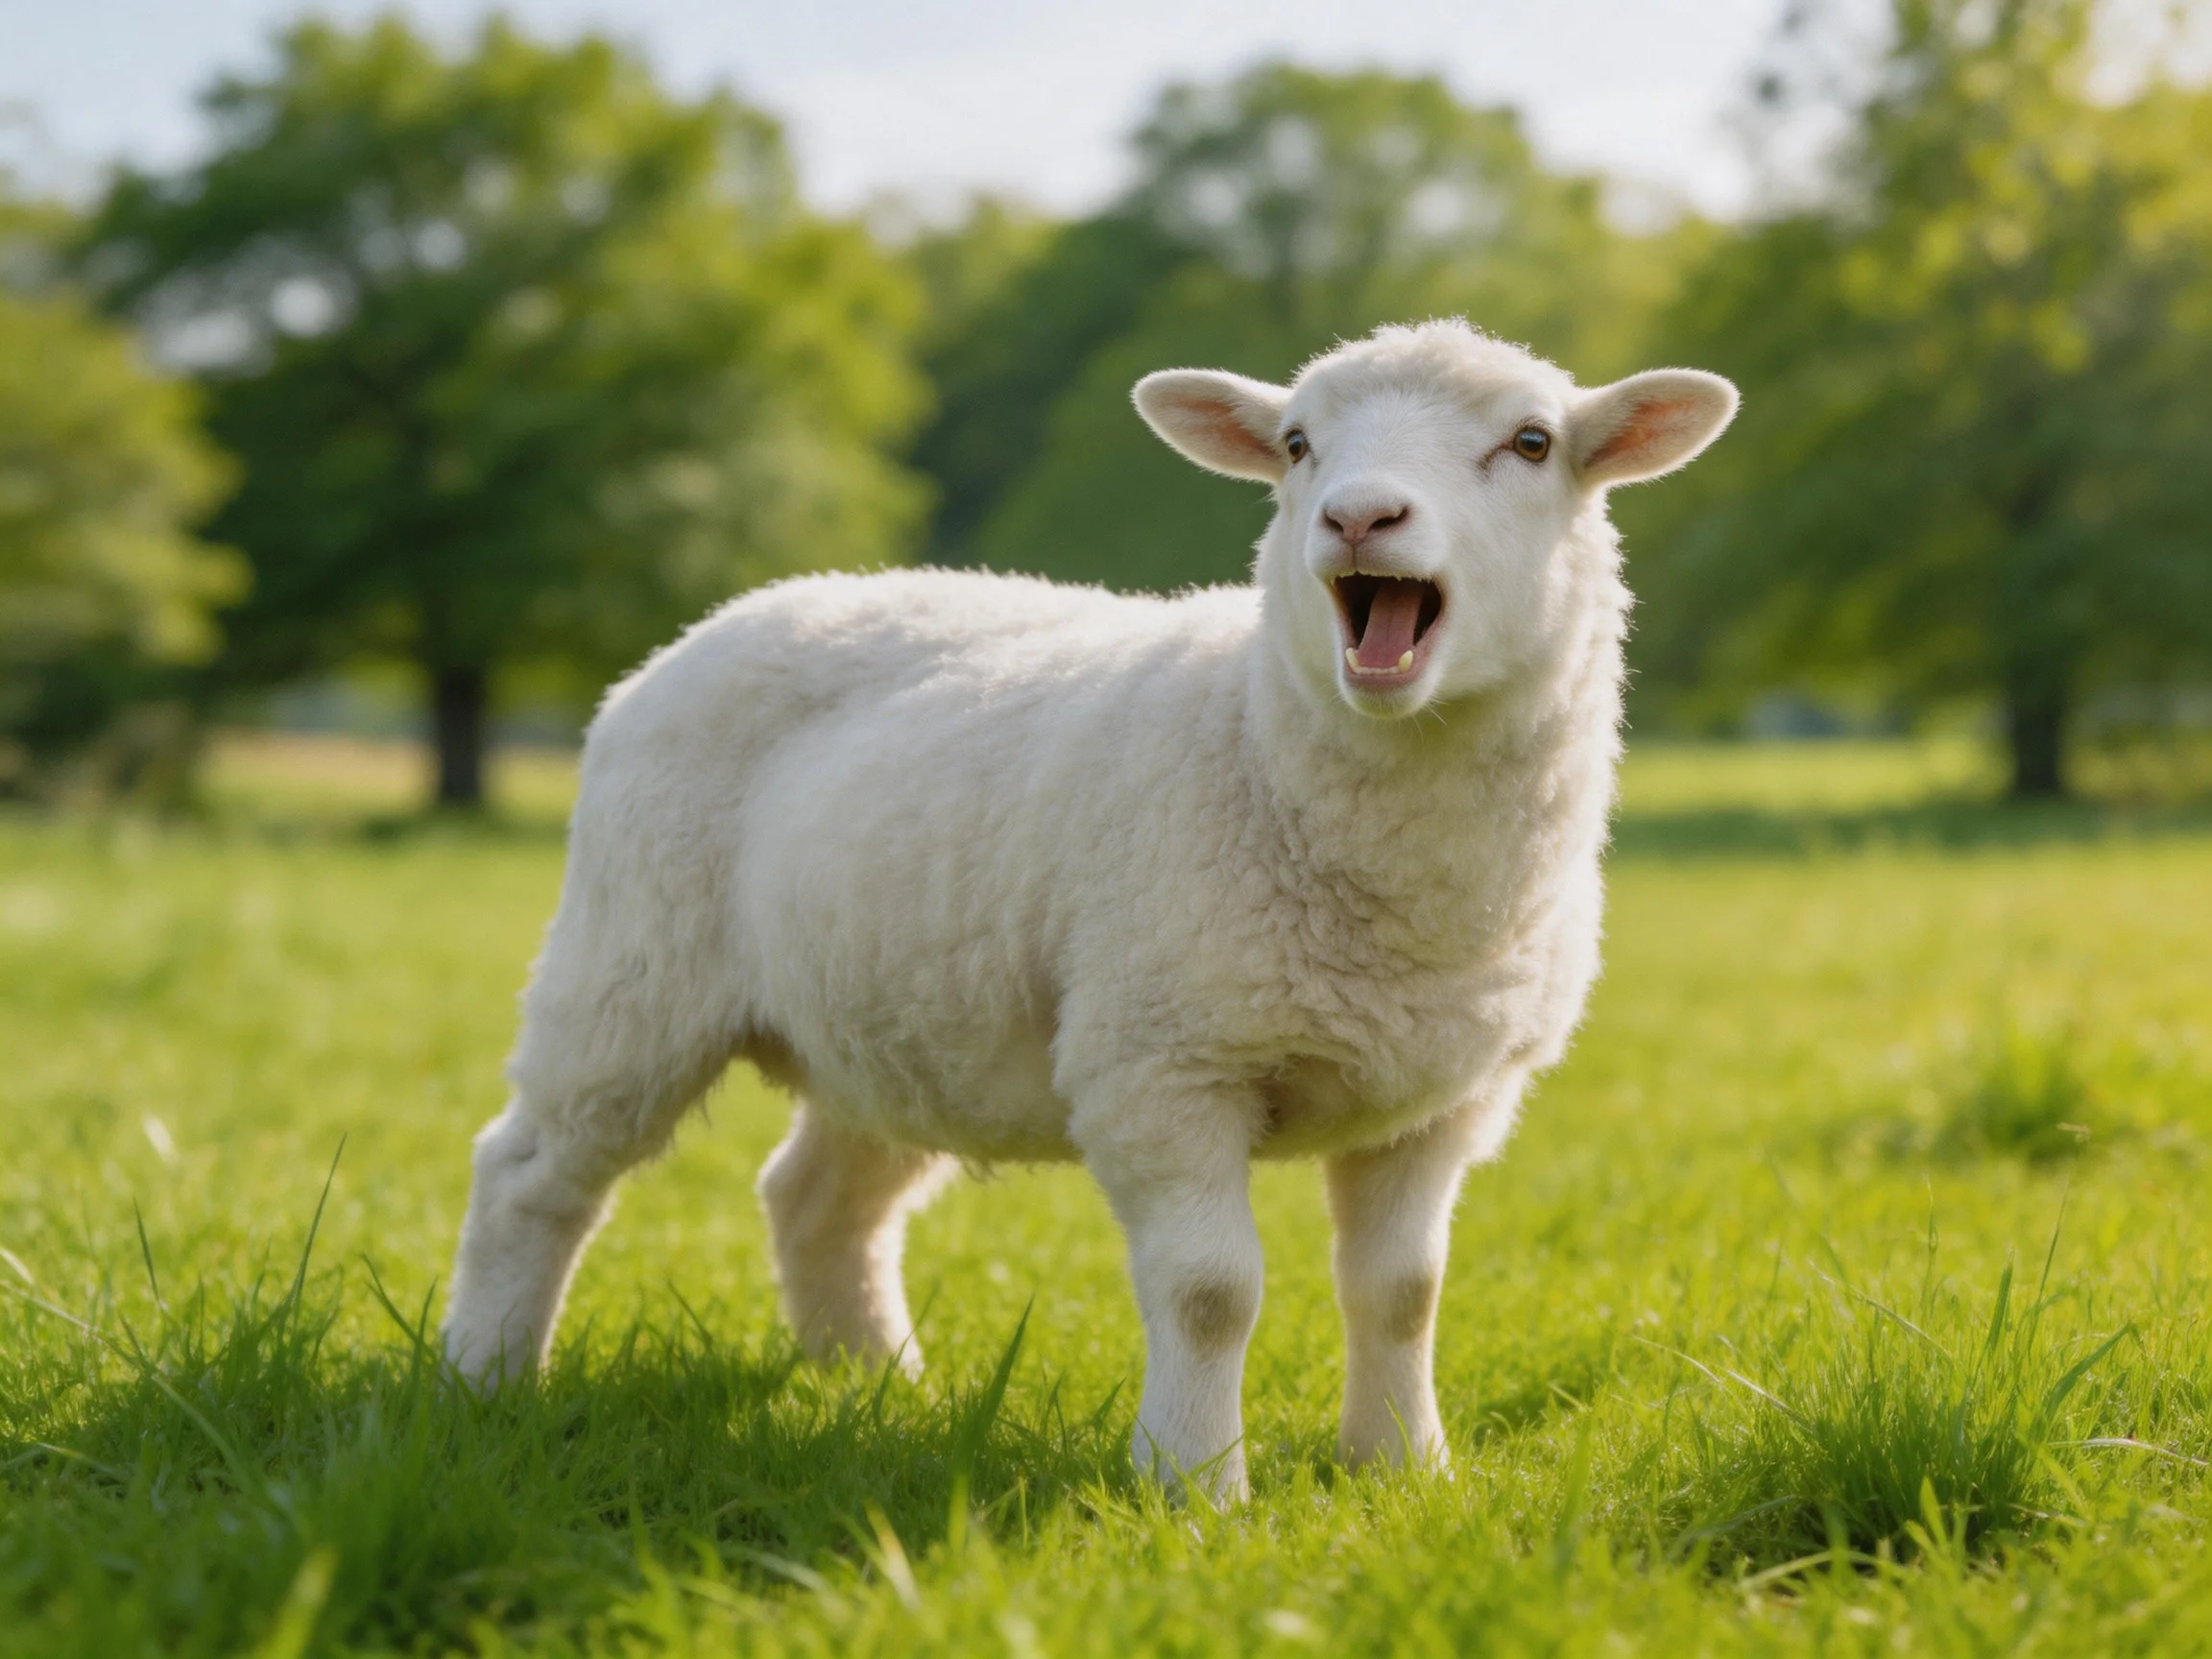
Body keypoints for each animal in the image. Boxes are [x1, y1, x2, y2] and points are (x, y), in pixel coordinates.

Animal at [442, 318, 1737, 1501]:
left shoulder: (1443, 1099)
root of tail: (726, 619)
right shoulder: (1161, 1062)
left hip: (895, 1017)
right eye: (1298, 444)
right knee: (529, 1172)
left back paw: (880, 1389)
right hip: (633, 960)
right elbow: (1212, 1293)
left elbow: (1402, 1293)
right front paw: (1194, 1487)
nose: (1359, 519)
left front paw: (1402, 1472)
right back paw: (484, 1383)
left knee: (817, 1202)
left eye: (1531, 443)